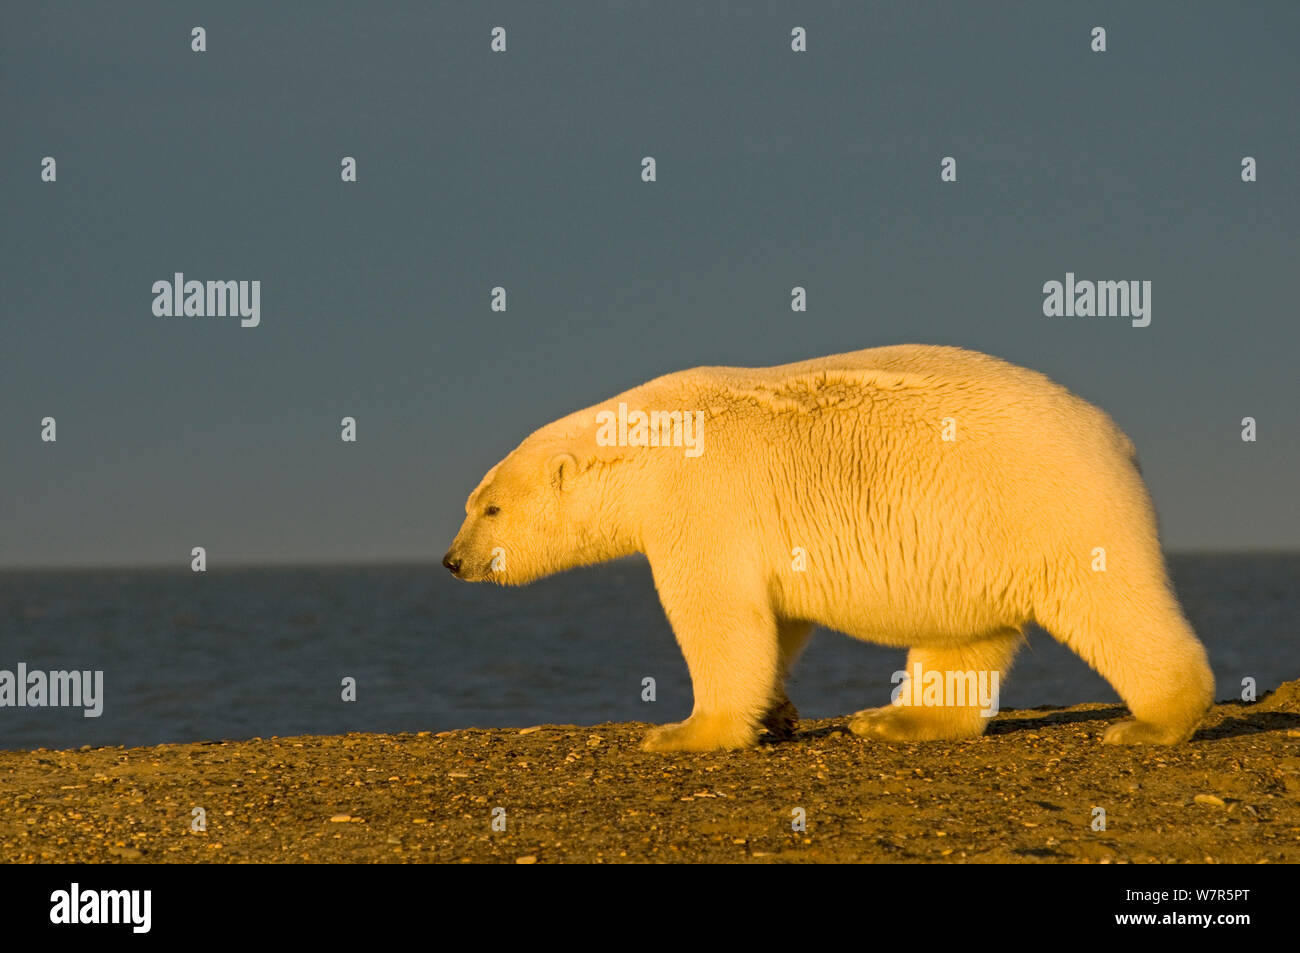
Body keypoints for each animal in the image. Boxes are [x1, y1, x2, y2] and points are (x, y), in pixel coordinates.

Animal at [441, 343, 1211, 748]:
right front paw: (778, 713)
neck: (648, 444)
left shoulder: (701, 500)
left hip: (1052, 510)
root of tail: (1117, 438)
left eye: (492, 507)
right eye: (472, 502)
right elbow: (776, 621)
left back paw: (1152, 722)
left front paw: (685, 731)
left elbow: (720, 613)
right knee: (961, 635)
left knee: (1111, 604)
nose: (452, 561)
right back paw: (898, 718)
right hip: (974, 539)